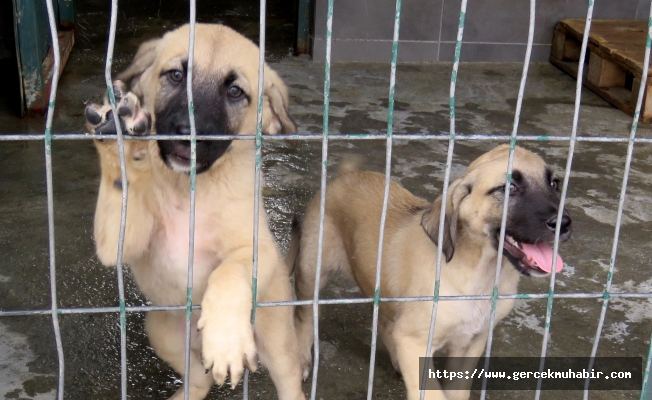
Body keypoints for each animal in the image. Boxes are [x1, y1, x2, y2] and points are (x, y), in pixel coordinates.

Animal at [83, 23, 304, 398]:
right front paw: (118, 138)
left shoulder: (258, 247)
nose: (190, 135)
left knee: (289, 378)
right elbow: (122, 190)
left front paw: (226, 341)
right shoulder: (121, 241)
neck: (191, 189)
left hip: (275, 336)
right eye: (175, 75)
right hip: (161, 329)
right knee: (199, 378)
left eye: (234, 91)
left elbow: (228, 272)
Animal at [290, 145, 572, 398]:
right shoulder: (416, 341)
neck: (482, 272)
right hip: (312, 269)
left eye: (555, 184)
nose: (564, 223)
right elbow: (432, 392)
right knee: (304, 315)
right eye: (509, 187)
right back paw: (302, 360)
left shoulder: (471, 342)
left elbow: (457, 391)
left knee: (385, 324)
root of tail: (346, 176)